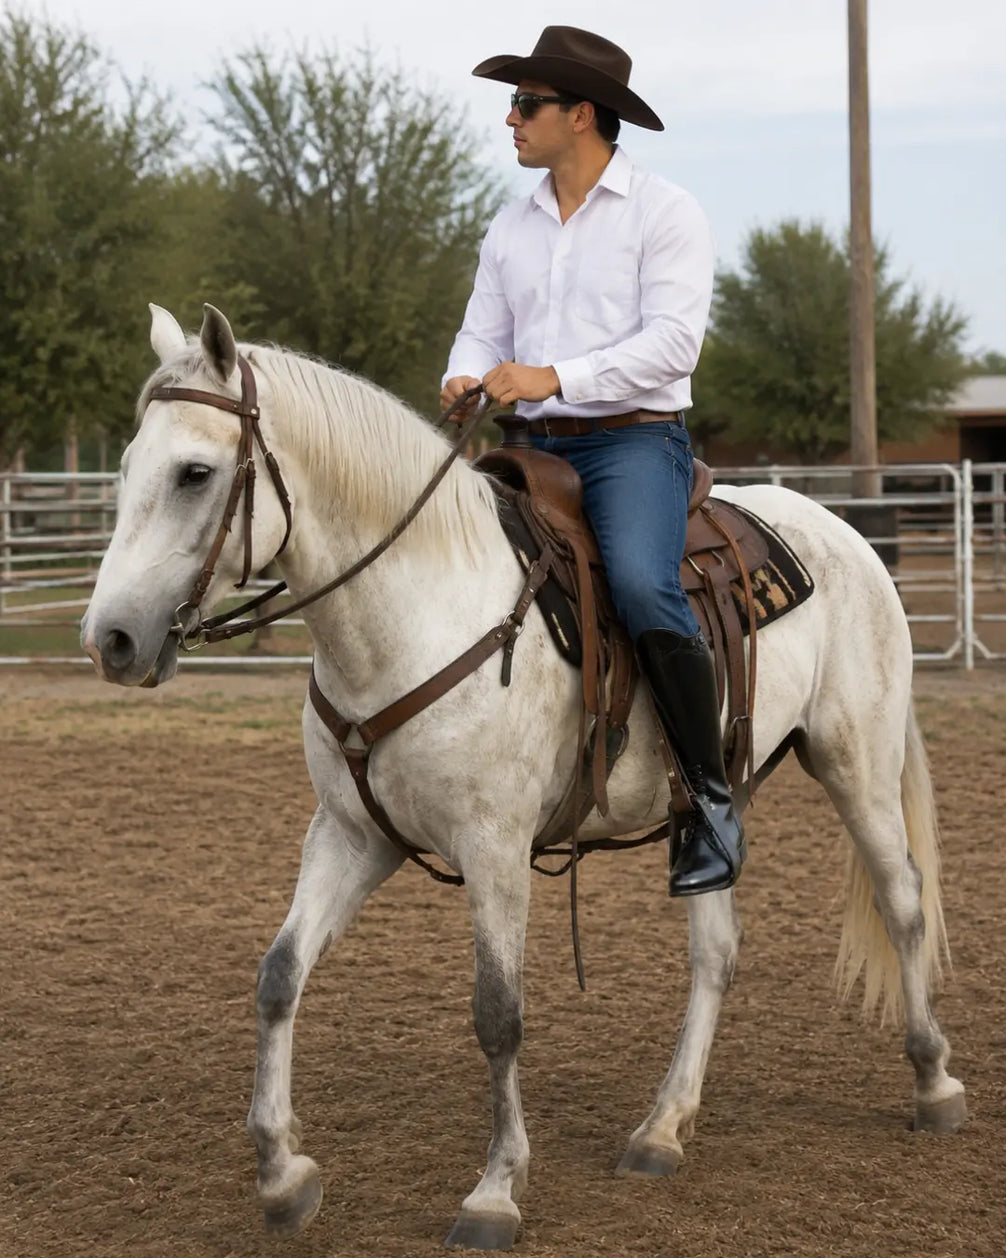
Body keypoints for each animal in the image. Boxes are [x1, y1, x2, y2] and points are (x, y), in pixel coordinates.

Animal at [81, 304, 966, 1250]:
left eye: (195, 473)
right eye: (127, 466)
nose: (111, 640)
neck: (413, 614)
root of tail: (842, 533)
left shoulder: (495, 848)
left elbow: (497, 1014)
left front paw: (496, 1189)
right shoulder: (351, 835)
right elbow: (280, 975)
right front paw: (283, 1174)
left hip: (857, 763)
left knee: (904, 902)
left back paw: (934, 1083)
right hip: (708, 810)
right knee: (717, 952)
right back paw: (663, 1126)